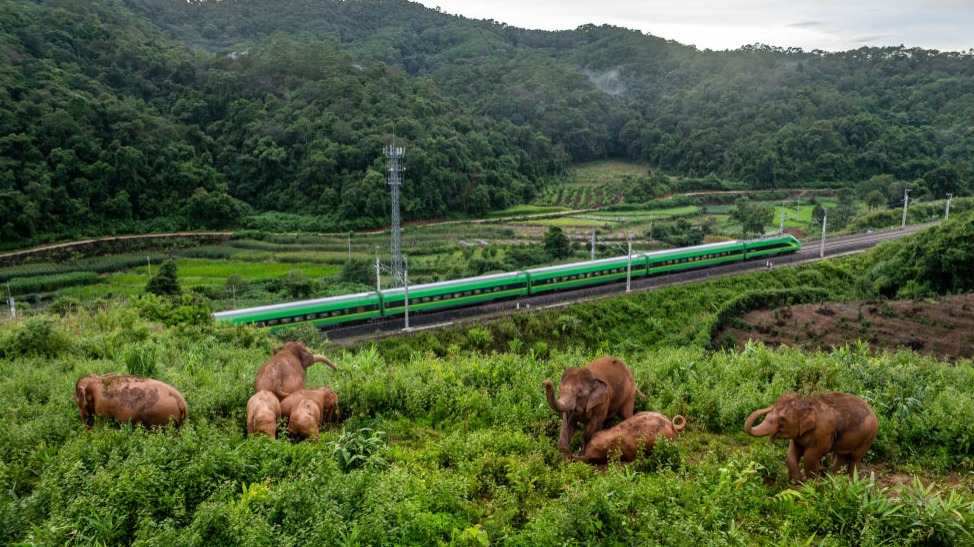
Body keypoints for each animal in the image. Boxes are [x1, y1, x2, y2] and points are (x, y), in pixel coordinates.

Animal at [744, 392, 878, 482]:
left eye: (782, 420)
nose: (768, 407)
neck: (806, 402)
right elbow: (792, 452)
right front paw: (797, 480)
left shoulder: (823, 433)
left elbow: (811, 456)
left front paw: (810, 483)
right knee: (842, 456)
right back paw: (834, 479)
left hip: (868, 437)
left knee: (855, 458)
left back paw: (849, 481)